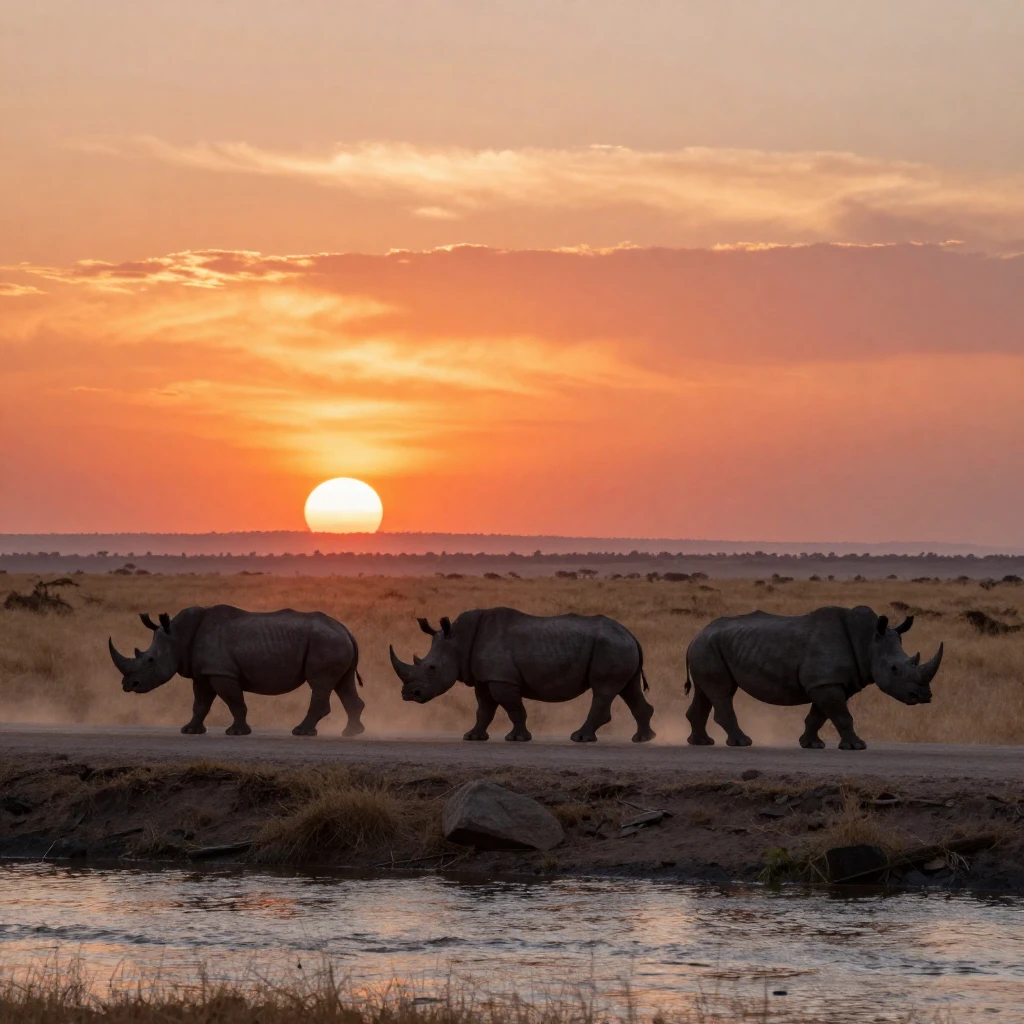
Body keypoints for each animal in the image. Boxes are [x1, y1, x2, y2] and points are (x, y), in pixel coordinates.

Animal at [108, 605, 365, 737]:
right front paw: (189, 731)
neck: (178, 636)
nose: (128, 685)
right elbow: (200, 704)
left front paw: (236, 732)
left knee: (320, 684)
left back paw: (301, 732)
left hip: (326, 642)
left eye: (150, 660)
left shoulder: (222, 673)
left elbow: (234, 702)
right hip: (334, 641)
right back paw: (351, 733)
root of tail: (346, 629)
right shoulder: (204, 673)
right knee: (343, 684)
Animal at [388, 607, 655, 743]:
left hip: (611, 647)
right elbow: (484, 709)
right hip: (618, 647)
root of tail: (630, 634)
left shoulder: (502, 679)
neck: (459, 640)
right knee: (628, 690)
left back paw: (580, 738)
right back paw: (643, 738)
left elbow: (513, 708)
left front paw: (516, 738)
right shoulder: (485, 678)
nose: (409, 694)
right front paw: (472, 737)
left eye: (432, 668)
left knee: (603, 691)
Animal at [684, 606, 943, 750]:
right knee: (722, 692)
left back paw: (702, 742)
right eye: (894, 669)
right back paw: (743, 742)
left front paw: (812, 745)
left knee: (706, 692)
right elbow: (841, 715)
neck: (868, 640)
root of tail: (697, 634)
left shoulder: (828, 682)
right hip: (708, 647)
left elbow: (819, 716)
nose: (924, 696)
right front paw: (857, 746)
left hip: (710, 647)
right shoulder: (825, 682)